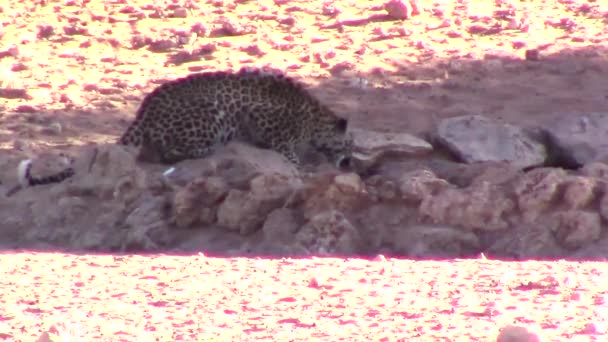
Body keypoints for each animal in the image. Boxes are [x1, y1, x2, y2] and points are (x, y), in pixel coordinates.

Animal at [19, 67, 354, 188]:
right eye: (350, 144)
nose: (349, 161)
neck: (315, 115)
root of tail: (145, 108)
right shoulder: (262, 119)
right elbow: (288, 153)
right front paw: (301, 164)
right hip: (212, 112)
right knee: (167, 152)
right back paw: (205, 151)